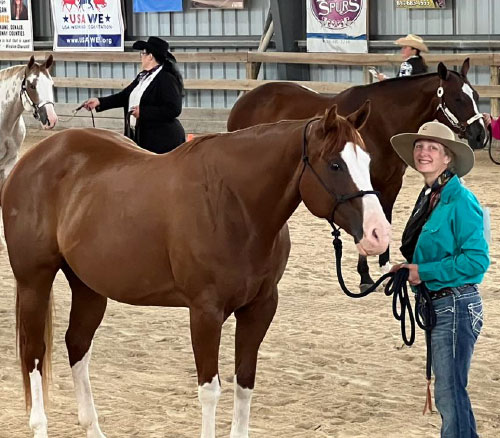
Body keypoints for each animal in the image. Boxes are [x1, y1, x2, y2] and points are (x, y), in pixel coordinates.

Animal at [1, 101, 390, 436]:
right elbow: (209, 389)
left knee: (77, 345)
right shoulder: (205, 312)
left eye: (368, 160)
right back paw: (39, 425)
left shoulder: (260, 308)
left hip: (89, 287)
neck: (235, 203)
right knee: (34, 354)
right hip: (34, 282)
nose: (379, 234)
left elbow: (244, 383)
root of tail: (34, 158)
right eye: (335, 164)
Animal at [227, 59, 484, 290]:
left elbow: (383, 219)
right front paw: (365, 276)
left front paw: (383, 269)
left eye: (476, 95)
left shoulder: (390, 184)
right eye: (458, 98)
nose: (480, 135)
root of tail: (246, 99)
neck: (381, 123)